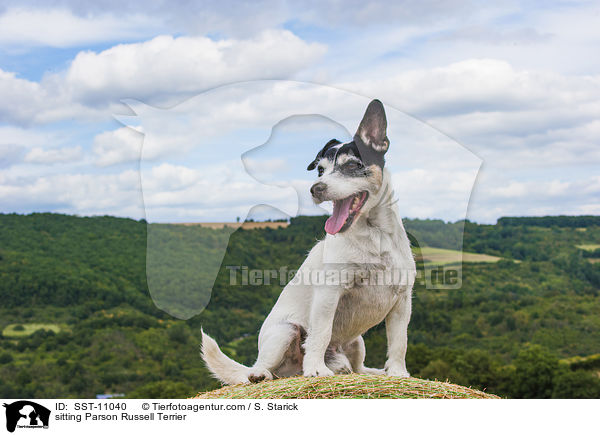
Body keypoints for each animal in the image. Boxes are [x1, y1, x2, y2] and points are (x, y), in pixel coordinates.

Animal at [200, 99, 412, 384]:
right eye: (320, 170)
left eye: (352, 165)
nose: (316, 188)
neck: (375, 236)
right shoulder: (329, 293)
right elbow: (320, 334)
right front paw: (316, 369)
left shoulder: (402, 301)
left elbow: (399, 343)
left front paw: (398, 373)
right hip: (285, 332)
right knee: (264, 366)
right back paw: (263, 374)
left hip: (357, 342)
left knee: (357, 367)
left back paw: (368, 371)